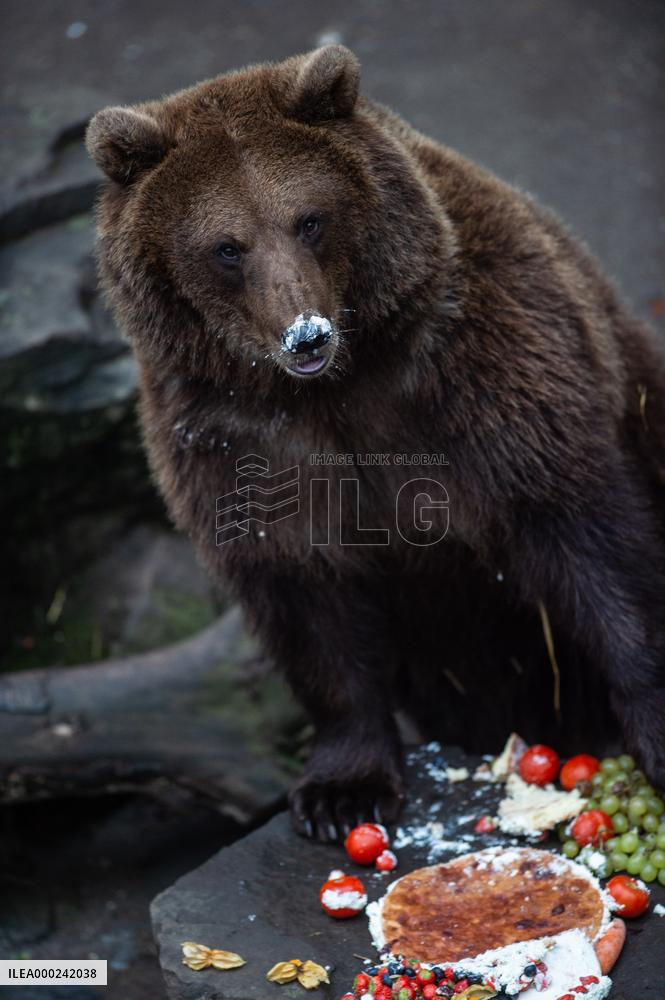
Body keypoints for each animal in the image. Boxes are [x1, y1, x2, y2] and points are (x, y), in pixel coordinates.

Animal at [86, 45, 665, 840]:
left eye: (309, 218)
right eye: (227, 247)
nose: (305, 334)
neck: (337, 385)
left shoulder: (482, 370)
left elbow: (582, 530)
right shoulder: (233, 436)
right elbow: (303, 590)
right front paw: (342, 791)